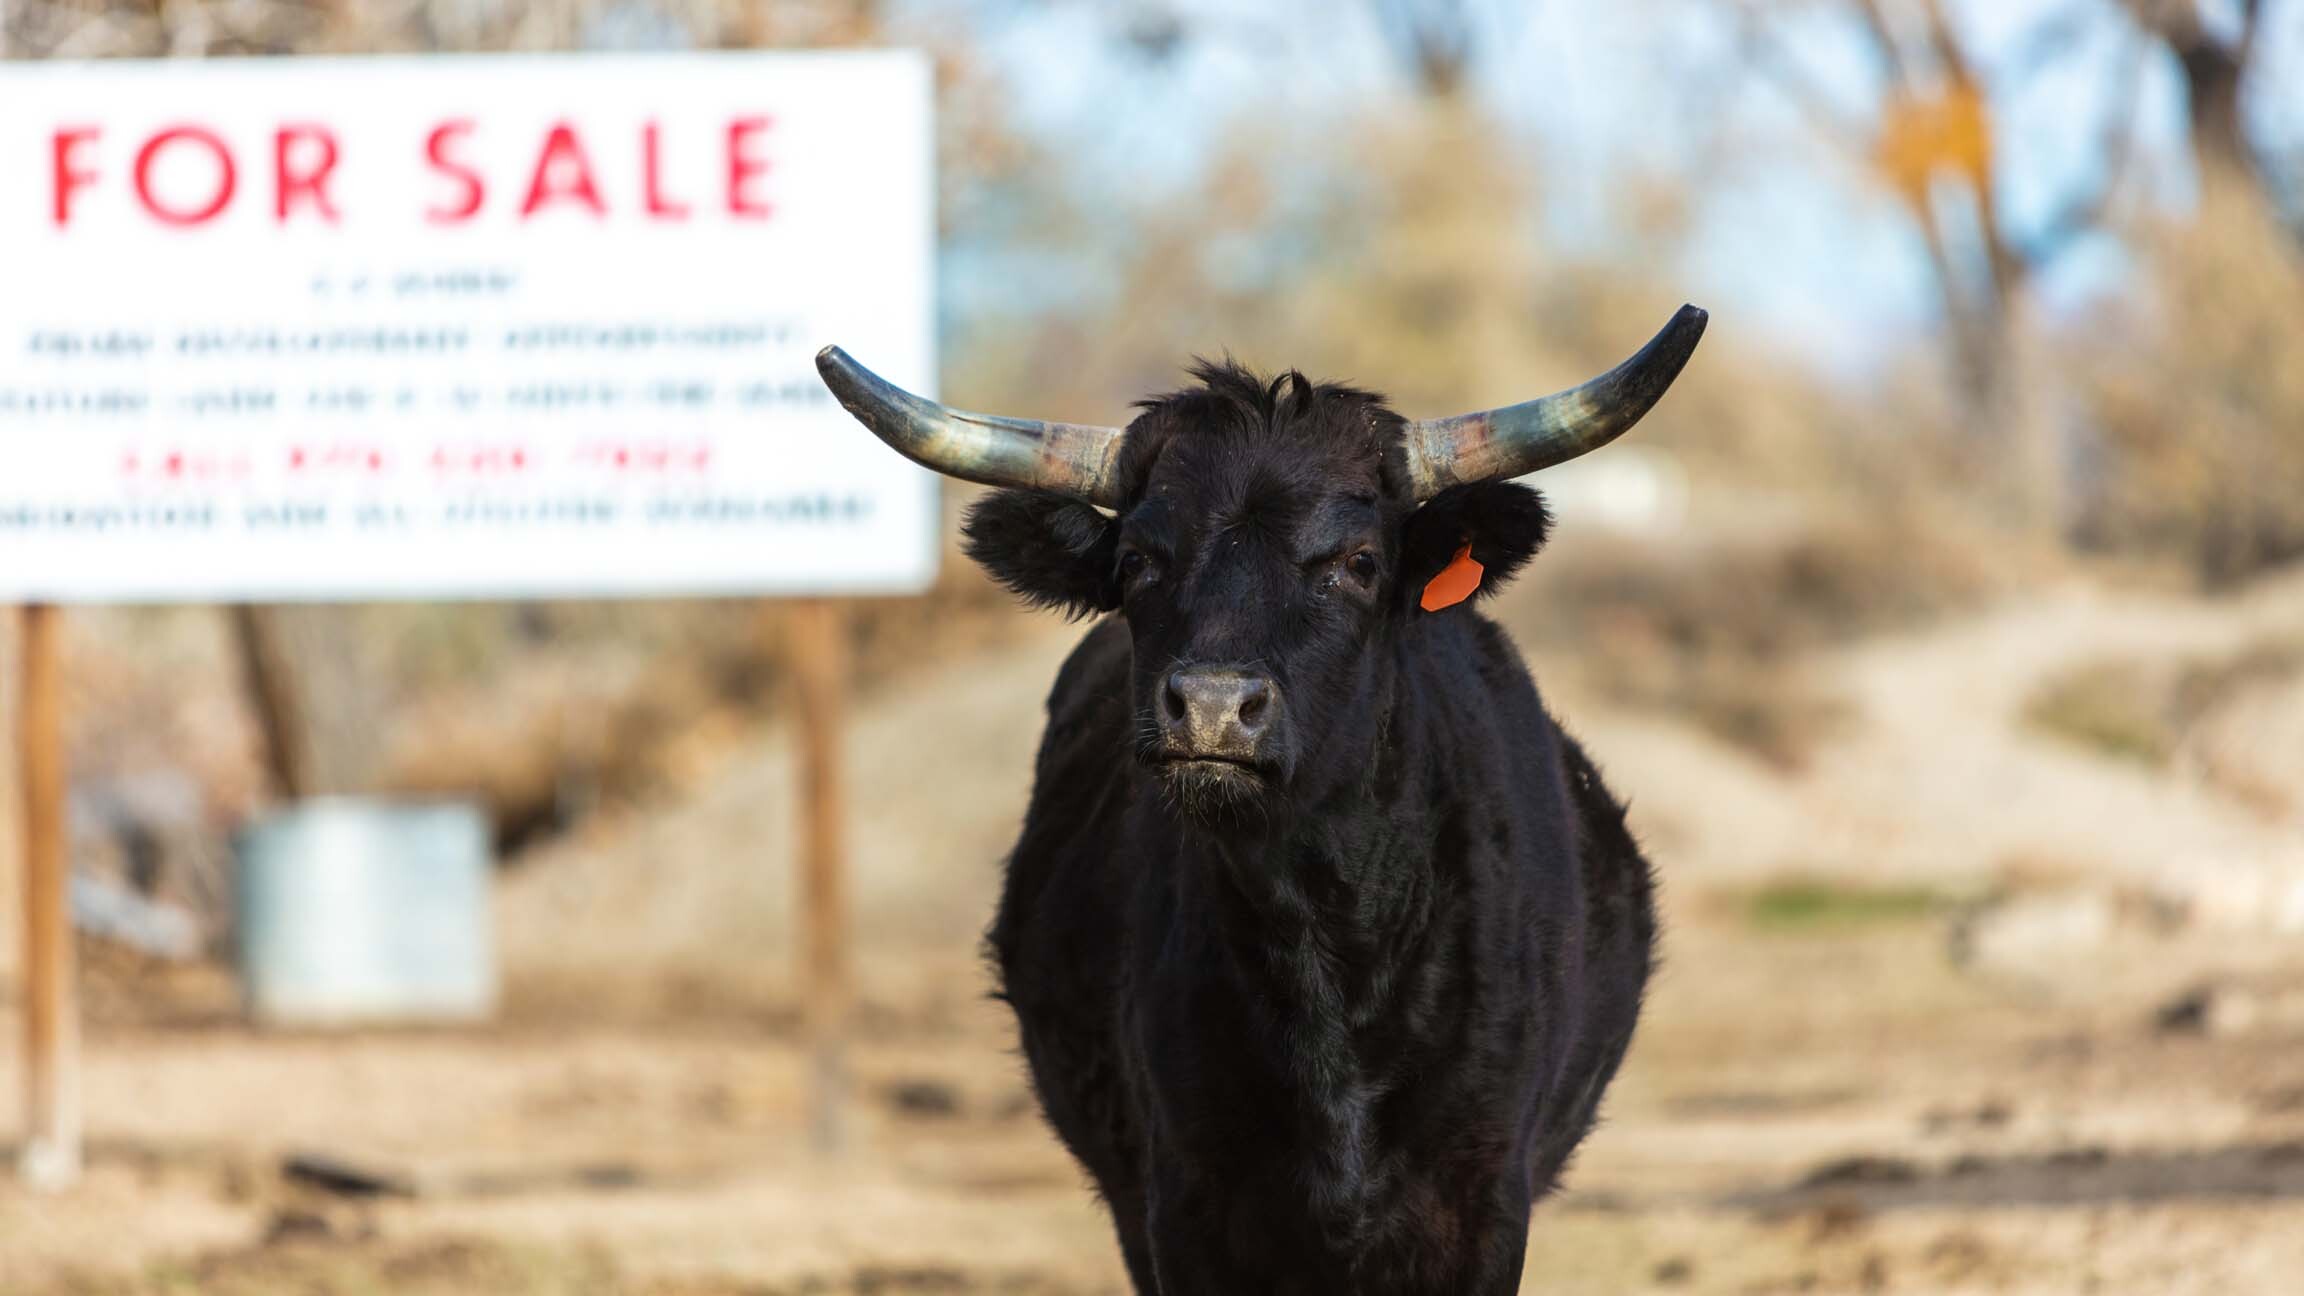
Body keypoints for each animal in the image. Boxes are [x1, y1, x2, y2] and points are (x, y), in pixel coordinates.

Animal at [815, 305, 1705, 1295]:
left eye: (1358, 562)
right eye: (1137, 560)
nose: (1210, 706)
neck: (1321, 943)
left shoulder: (1482, 1202)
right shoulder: (1182, 1205)